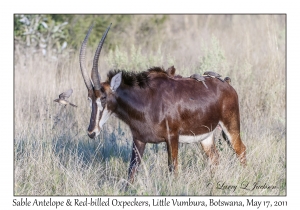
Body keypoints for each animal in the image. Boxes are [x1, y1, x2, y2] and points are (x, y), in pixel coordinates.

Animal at [78, 25, 245, 184]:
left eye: (103, 97)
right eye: (89, 98)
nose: (91, 132)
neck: (146, 100)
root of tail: (228, 84)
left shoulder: (172, 138)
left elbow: (173, 169)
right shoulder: (138, 140)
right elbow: (131, 171)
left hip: (231, 128)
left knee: (241, 151)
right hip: (206, 136)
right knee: (214, 158)